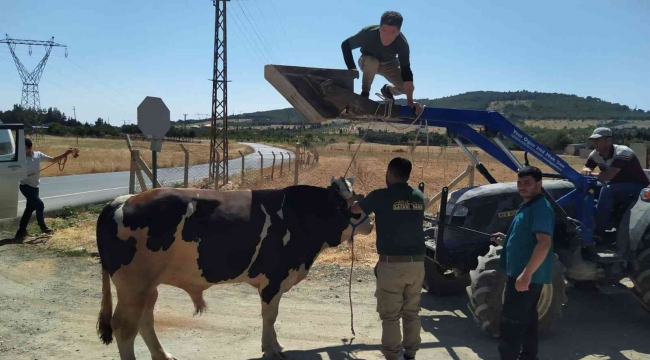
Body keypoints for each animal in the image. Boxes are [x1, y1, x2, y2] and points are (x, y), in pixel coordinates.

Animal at [93, 179, 372, 360]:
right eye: (353, 205)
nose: (371, 223)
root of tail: (123, 199)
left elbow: (272, 317)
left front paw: (277, 345)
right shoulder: (274, 280)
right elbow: (270, 316)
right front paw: (271, 349)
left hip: (147, 287)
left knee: (145, 319)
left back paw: (162, 354)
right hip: (134, 286)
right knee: (124, 326)